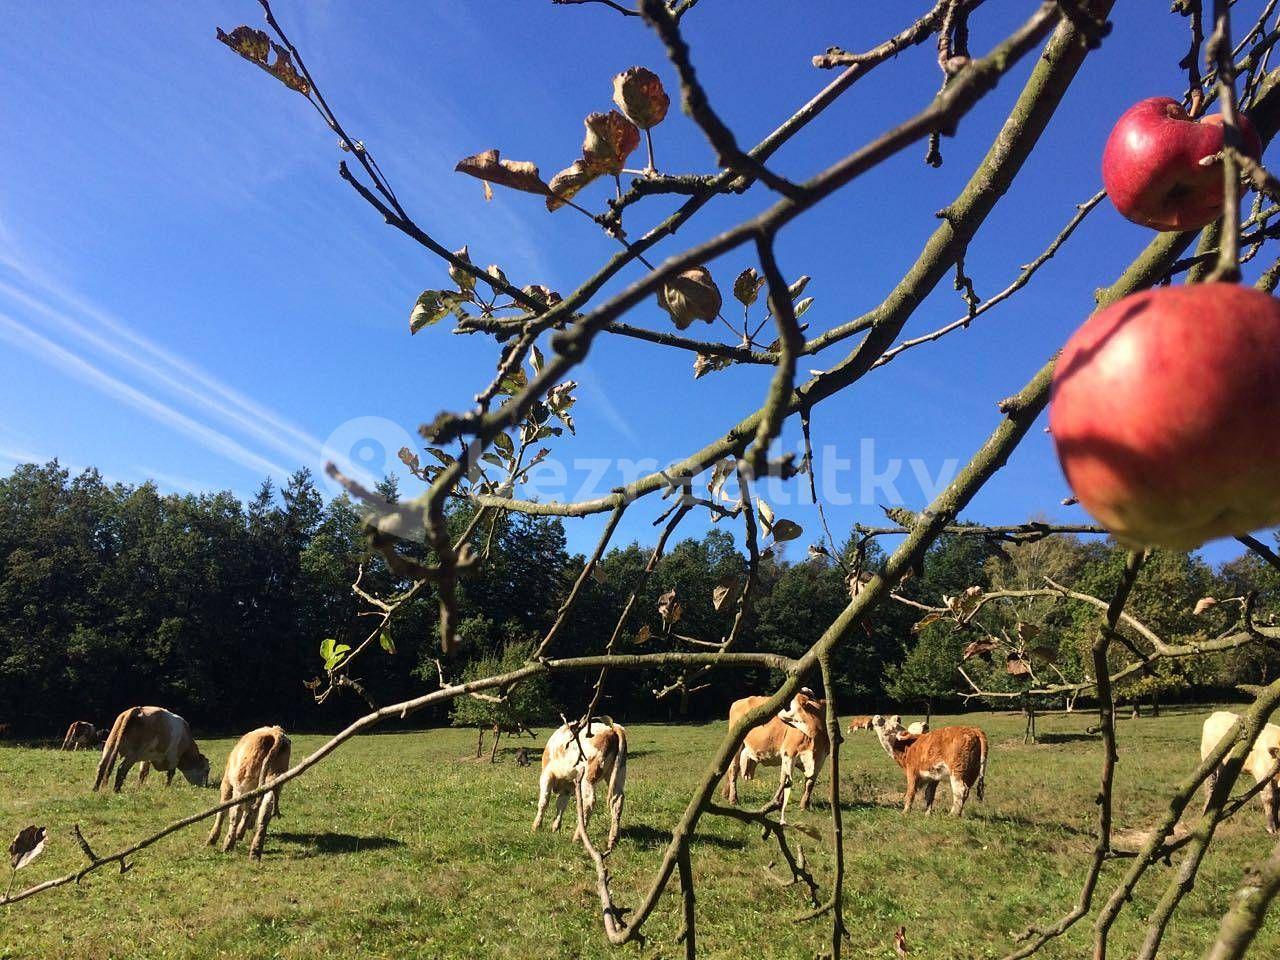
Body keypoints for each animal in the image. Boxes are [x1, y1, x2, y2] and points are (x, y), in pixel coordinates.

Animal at [207, 727, 293, 860]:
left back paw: (228, 844)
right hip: (273, 783)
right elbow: (249, 812)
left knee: (235, 813)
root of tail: (275, 732)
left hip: (241, 785)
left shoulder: (226, 783)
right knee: (264, 813)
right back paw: (255, 851)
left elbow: (222, 811)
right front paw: (241, 832)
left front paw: (212, 838)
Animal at [532, 716, 627, 855]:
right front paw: (555, 828)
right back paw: (612, 841)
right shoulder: (568, 787)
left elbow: (543, 802)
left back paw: (577, 837)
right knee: (617, 800)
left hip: (588, 777)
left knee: (589, 802)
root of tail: (612, 728)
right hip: (618, 773)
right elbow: (560, 805)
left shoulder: (546, 776)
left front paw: (536, 827)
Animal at [727, 686, 834, 824]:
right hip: (736, 745)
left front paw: (804, 806)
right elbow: (784, 780)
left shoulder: (820, 759)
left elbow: (810, 783)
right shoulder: (788, 753)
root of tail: (739, 701)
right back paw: (733, 799)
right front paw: (776, 802)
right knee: (733, 769)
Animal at [1198, 711, 1280, 839]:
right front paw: (1271, 827)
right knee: (1209, 786)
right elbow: (1269, 798)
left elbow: (1278, 799)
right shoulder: (1262, 773)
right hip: (1209, 761)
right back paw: (1206, 812)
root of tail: (1214, 715)